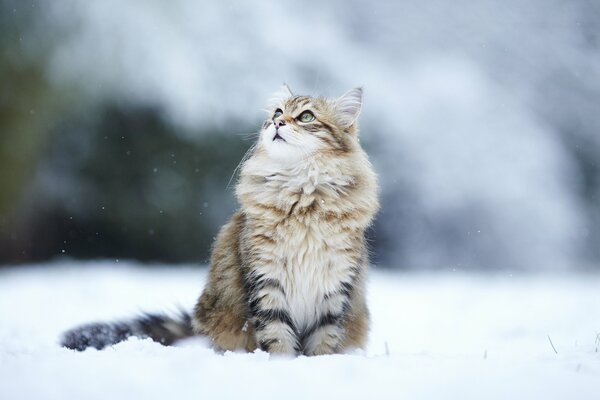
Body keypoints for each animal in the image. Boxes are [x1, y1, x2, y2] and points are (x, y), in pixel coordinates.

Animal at [61, 85, 380, 356]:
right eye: (277, 112)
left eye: (306, 116)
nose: (278, 123)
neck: (302, 197)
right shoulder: (266, 279)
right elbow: (277, 337)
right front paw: (282, 364)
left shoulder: (335, 286)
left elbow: (324, 341)